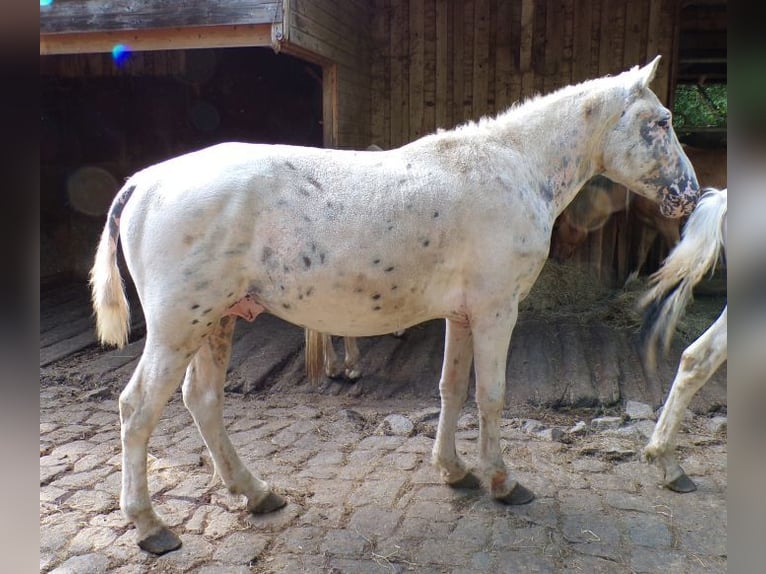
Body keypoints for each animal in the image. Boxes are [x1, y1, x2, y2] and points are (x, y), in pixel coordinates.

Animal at [89, 55, 698, 554]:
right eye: (662, 122)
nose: (690, 195)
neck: (512, 167)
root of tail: (146, 182)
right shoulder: (496, 310)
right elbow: (491, 395)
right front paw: (503, 482)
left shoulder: (462, 315)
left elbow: (453, 389)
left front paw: (455, 471)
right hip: (178, 330)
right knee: (137, 410)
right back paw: (150, 526)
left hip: (216, 322)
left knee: (204, 401)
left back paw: (255, 492)